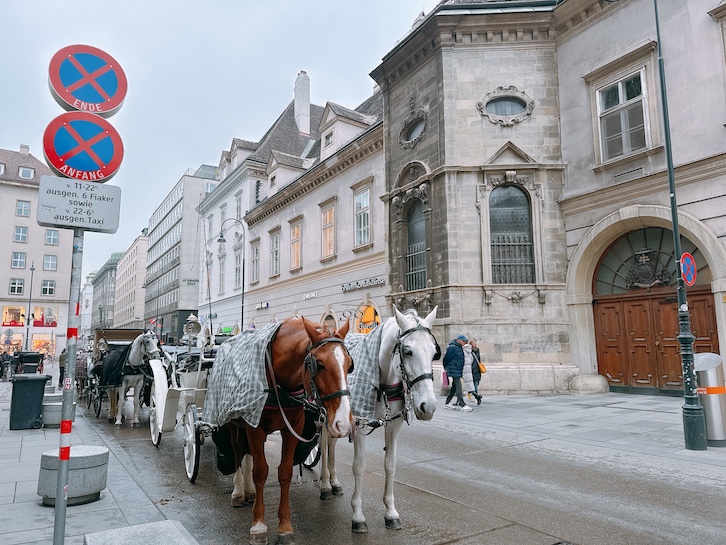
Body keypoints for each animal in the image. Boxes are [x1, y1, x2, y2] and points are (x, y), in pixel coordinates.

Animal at [216, 314, 352, 544]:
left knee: (248, 453)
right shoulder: (255, 428)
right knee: (237, 451)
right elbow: (261, 471)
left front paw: (285, 527)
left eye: (349, 365)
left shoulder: (292, 428)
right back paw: (238, 491)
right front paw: (259, 525)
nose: (343, 422)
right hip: (234, 423)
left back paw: (250, 491)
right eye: (320, 364)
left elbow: (285, 472)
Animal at [322, 306, 440, 532]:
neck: (383, 385)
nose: (428, 406)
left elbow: (390, 464)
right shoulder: (358, 423)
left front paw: (390, 512)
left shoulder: (394, 424)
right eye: (408, 351)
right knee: (323, 446)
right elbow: (359, 466)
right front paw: (358, 515)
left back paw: (334, 482)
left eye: (433, 352)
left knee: (331, 444)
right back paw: (324, 484)